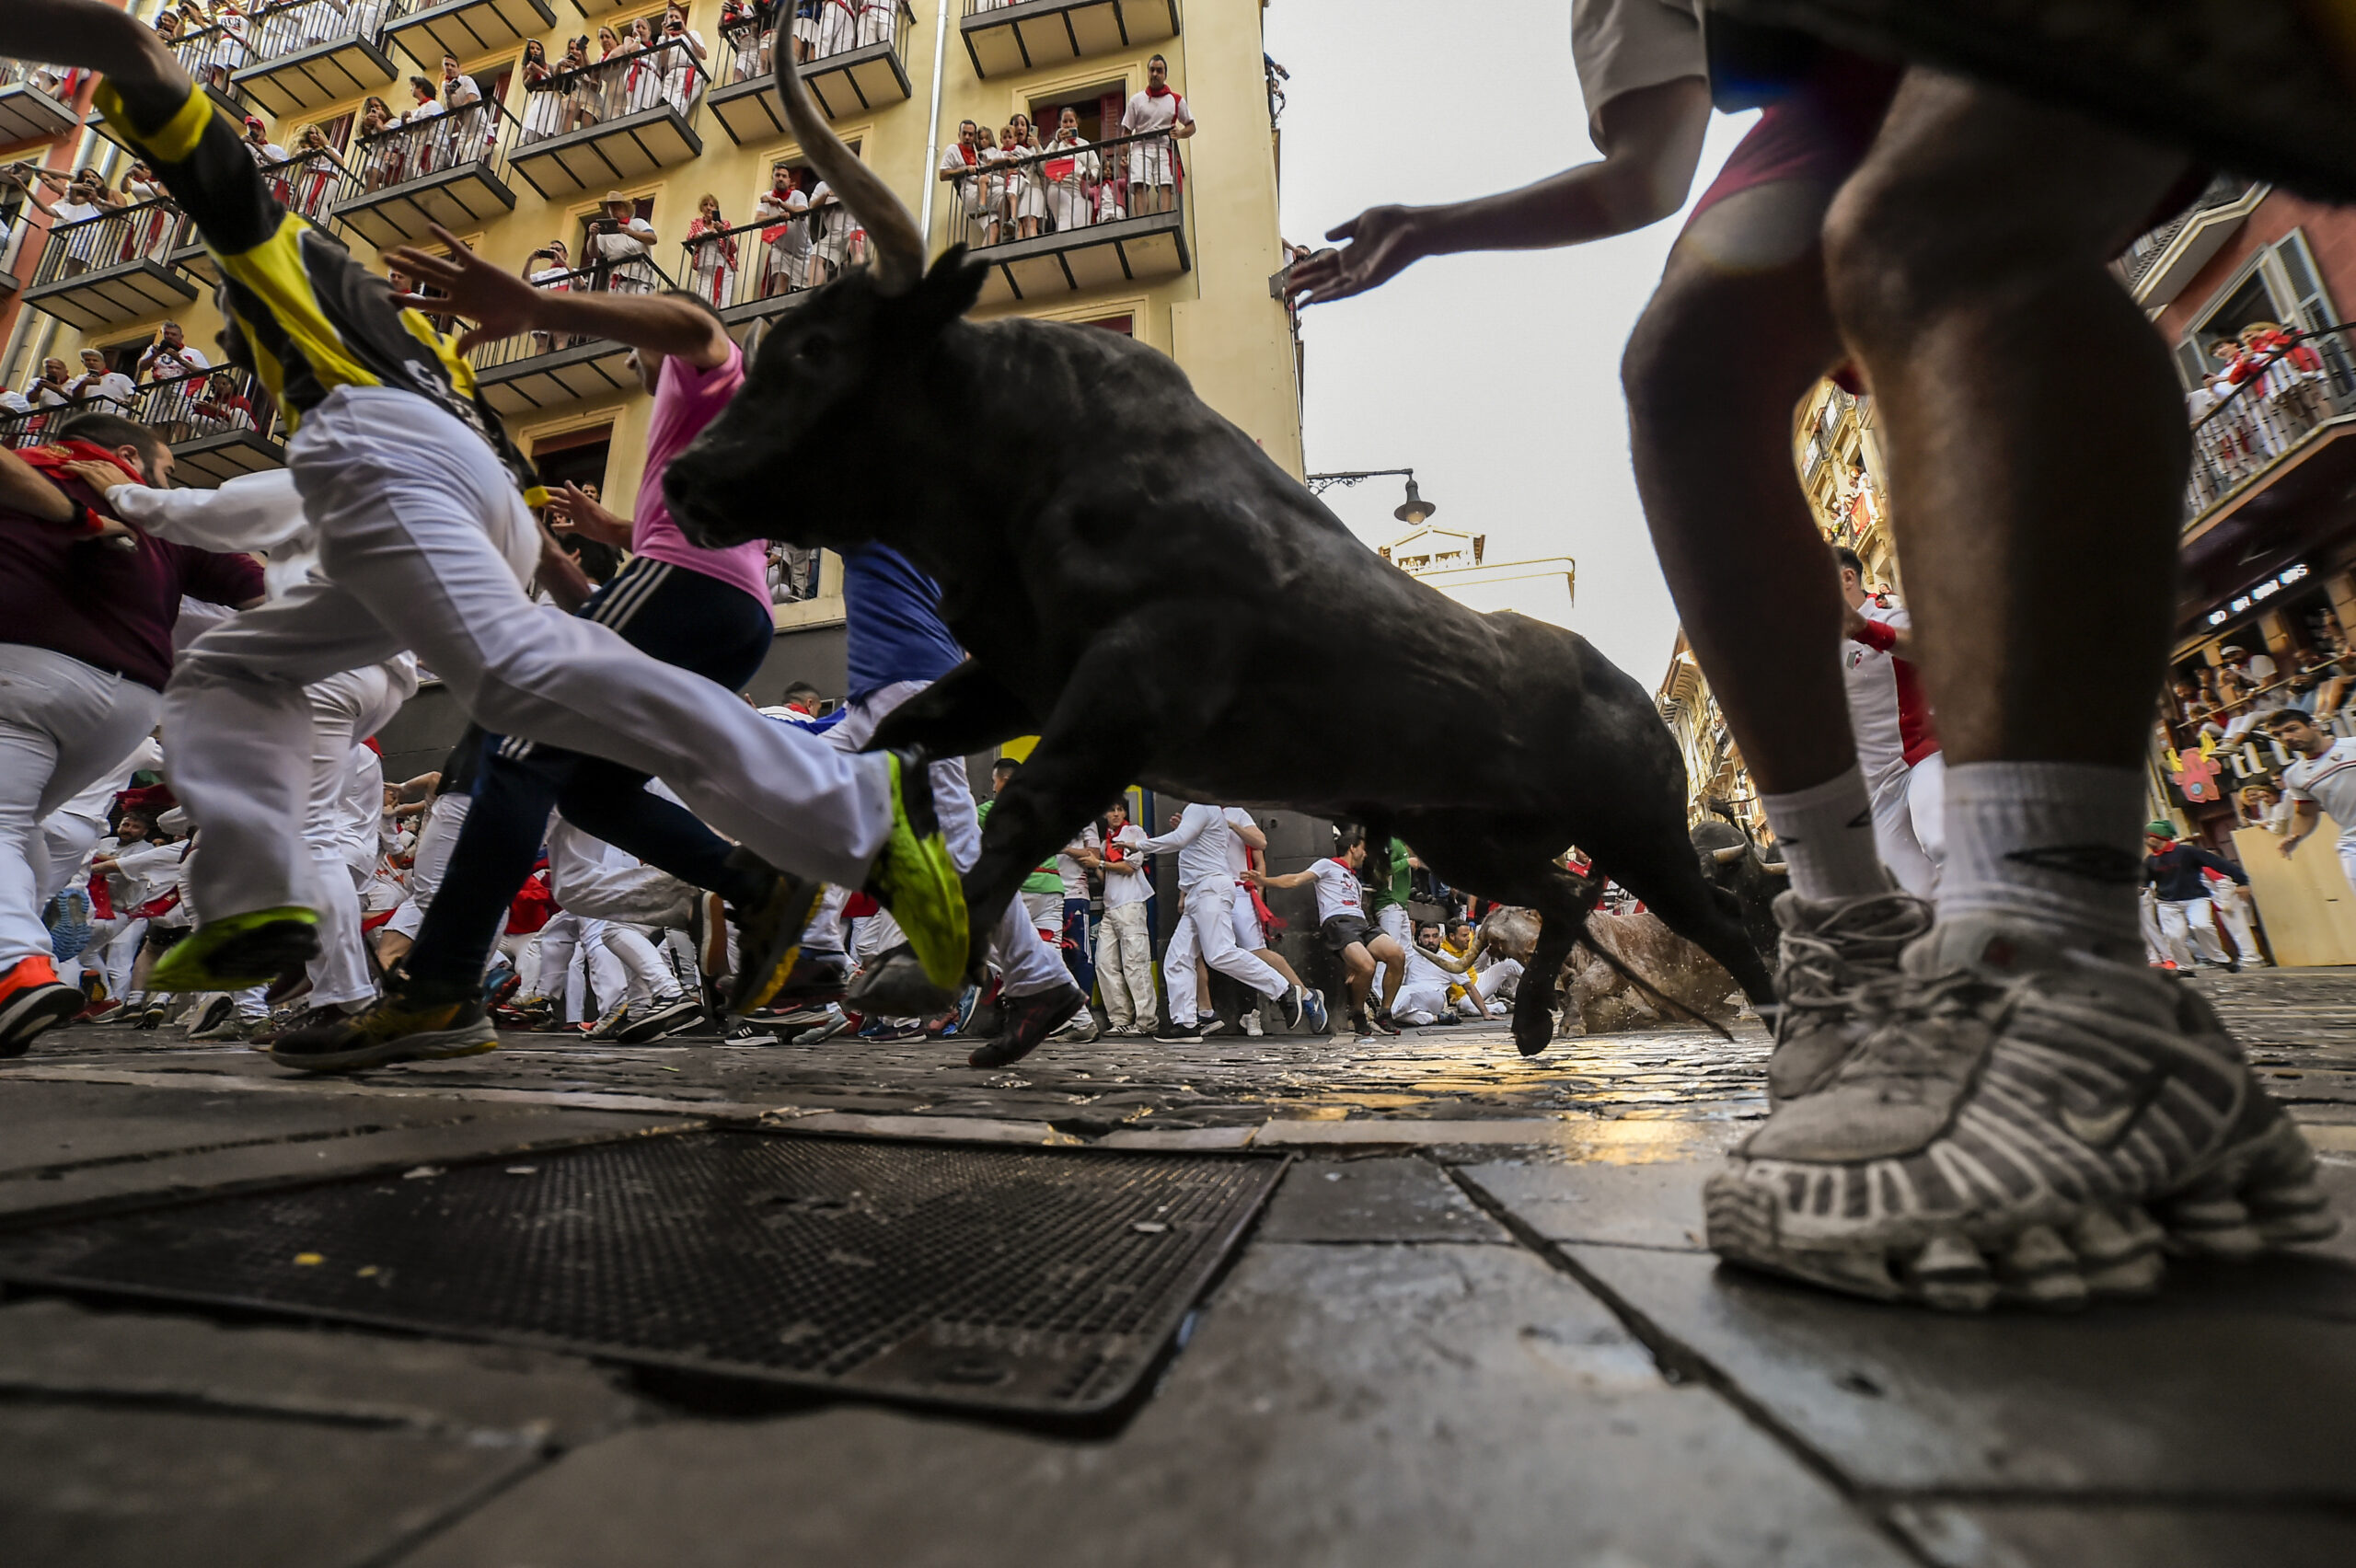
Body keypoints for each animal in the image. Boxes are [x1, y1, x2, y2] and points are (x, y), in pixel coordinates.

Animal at [664, 259, 1772, 1050]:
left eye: (815, 349)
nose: (681, 477)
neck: (1029, 464)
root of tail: (1623, 686)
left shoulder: (1128, 684)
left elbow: (1029, 805)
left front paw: (913, 966)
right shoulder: (1020, 676)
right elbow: (894, 739)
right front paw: (783, 900)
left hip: (1638, 830)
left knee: (1713, 914)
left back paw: (1766, 1015)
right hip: (1468, 837)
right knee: (1562, 896)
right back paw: (1539, 1019)